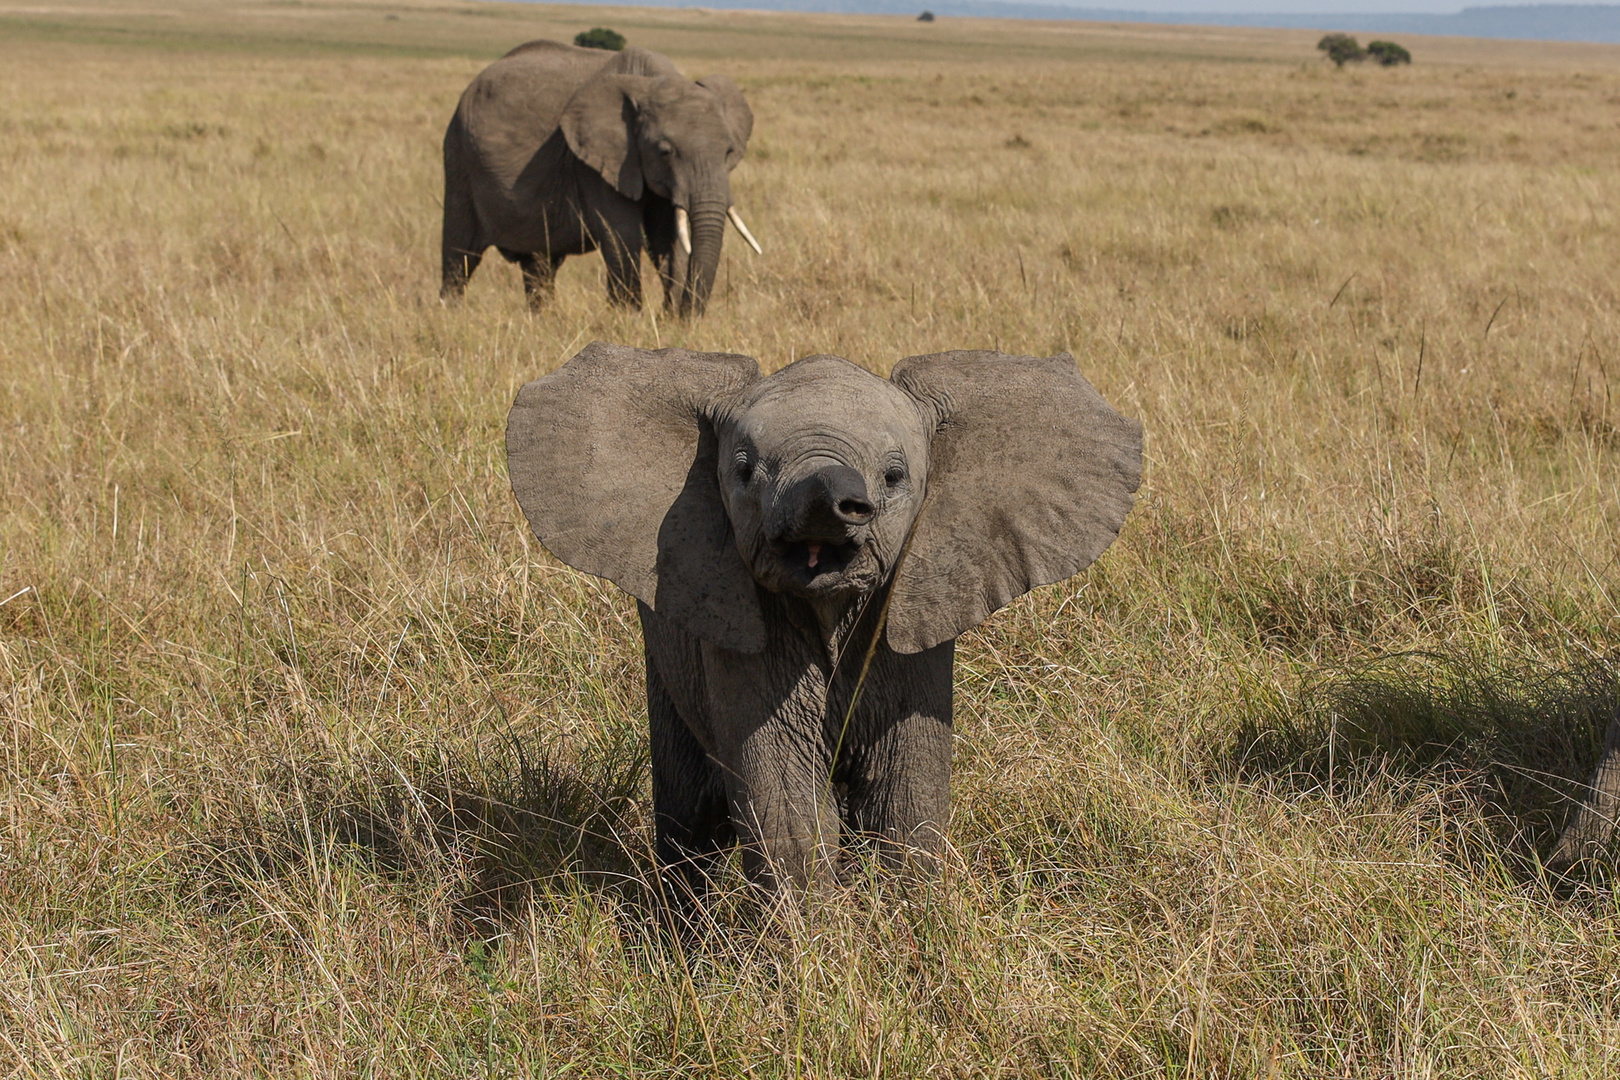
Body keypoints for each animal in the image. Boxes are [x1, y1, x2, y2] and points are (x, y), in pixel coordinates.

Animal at [440, 40, 761, 314]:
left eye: (729, 151)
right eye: (665, 151)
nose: (686, 314)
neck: (651, 83)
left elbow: (666, 237)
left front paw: (672, 321)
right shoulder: (594, 163)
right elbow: (622, 233)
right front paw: (629, 318)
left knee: (539, 264)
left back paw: (542, 318)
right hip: (459, 158)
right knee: (461, 255)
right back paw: (452, 315)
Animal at [505, 344, 1140, 893]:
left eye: (894, 476)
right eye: (743, 470)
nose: (839, 502)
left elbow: (903, 803)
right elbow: (789, 811)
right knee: (689, 817)